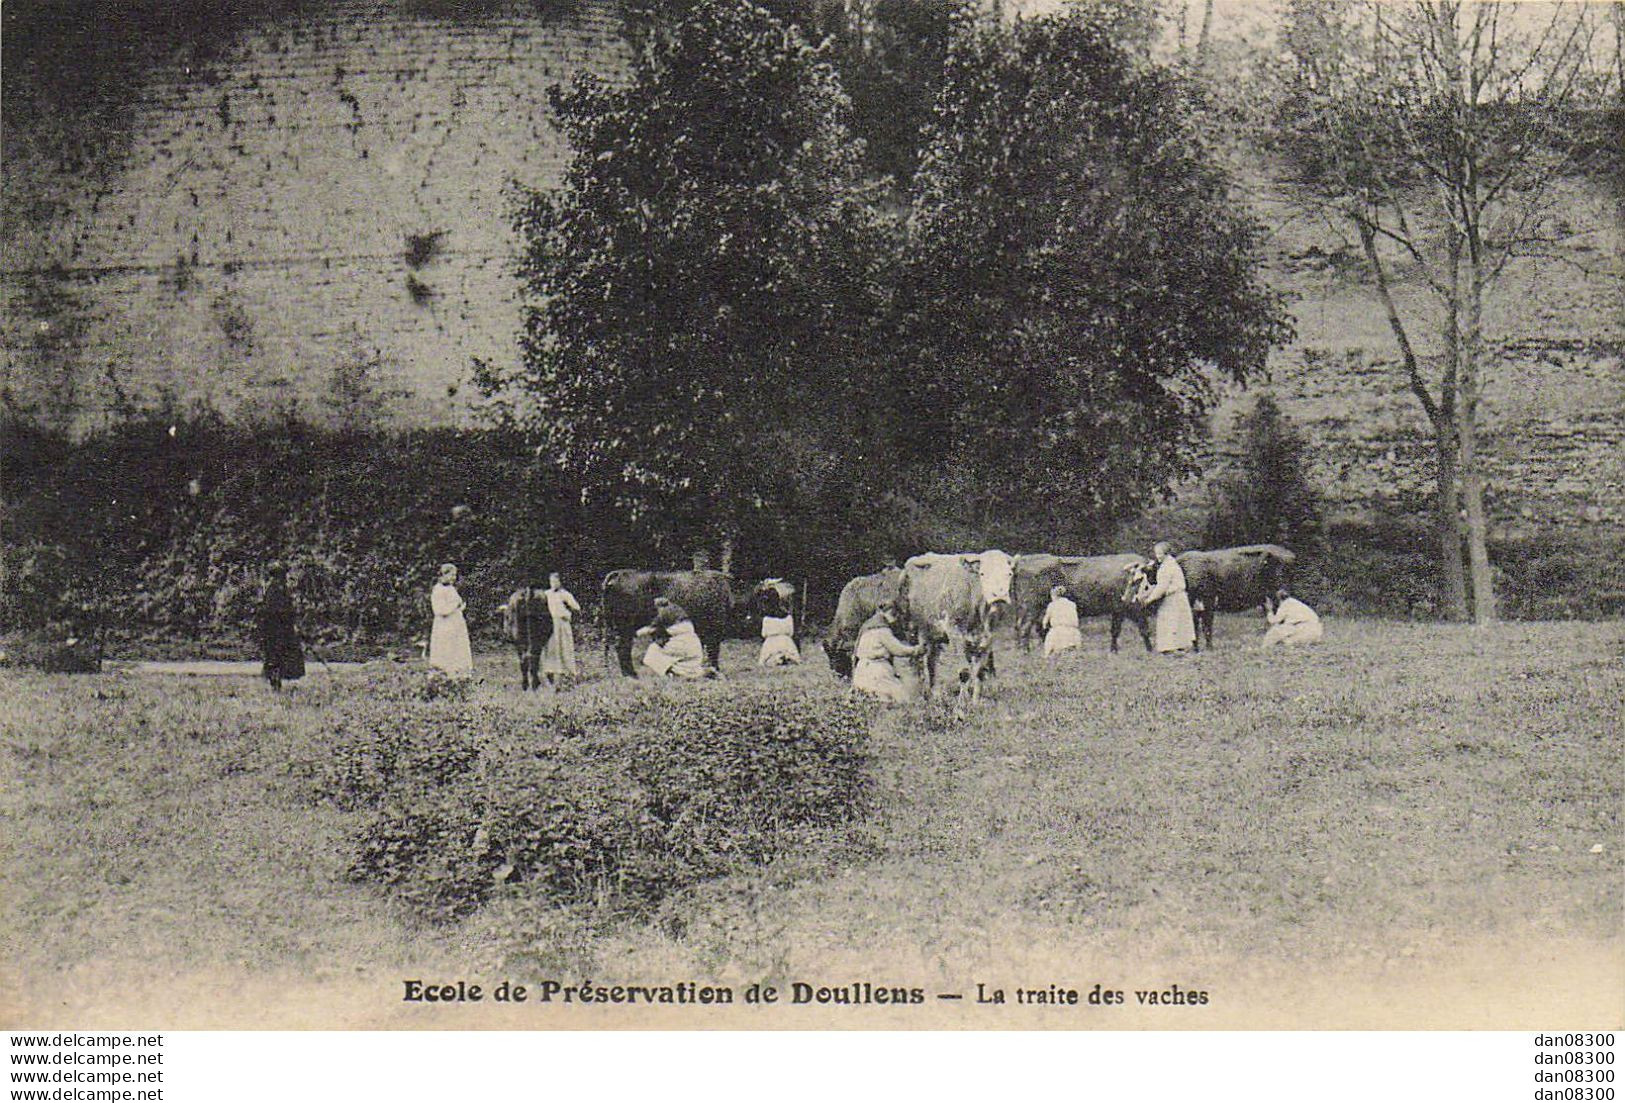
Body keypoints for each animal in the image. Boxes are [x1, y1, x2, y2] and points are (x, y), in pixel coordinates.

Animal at [604, 575, 793, 679]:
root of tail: (620, 574)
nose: (785, 611)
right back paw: (631, 674)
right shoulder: (714, 633)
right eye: (769, 597)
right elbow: (713, 652)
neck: (729, 594)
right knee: (623, 647)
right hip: (625, 628)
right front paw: (716, 670)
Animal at [897, 549, 1007, 721]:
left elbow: (980, 671)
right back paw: (922, 696)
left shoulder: (987, 638)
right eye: (983, 573)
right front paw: (961, 709)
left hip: (932, 634)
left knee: (931, 662)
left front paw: (975, 704)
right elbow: (965, 672)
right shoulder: (955, 631)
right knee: (917, 662)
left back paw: (934, 695)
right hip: (911, 628)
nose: (999, 595)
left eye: (1009, 573)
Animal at [1007, 555, 1163, 653]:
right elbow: (1144, 629)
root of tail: (1019, 562)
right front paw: (1150, 650)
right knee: (1025, 628)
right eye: (1154, 572)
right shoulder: (1133, 608)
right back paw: (1026, 652)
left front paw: (1113, 651)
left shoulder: (1117, 610)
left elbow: (1115, 630)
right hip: (1030, 608)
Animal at [1124, 545, 1300, 653]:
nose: (1128, 599)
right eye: (1131, 579)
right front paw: (1195, 648)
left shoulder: (1208, 601)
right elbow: (1195, 627)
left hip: (1280, 593)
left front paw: (1208, 648)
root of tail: (1290, 554)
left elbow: (1207, 626)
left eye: (1139, 580)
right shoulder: (1194, 606)